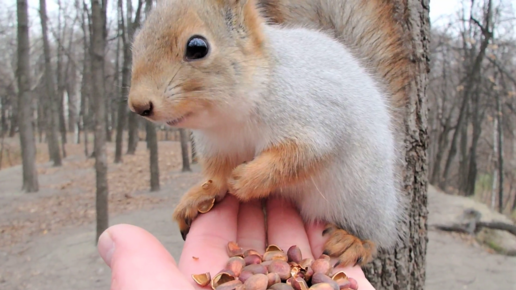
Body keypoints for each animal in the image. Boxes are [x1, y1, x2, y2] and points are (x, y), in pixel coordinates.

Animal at [130, 0, 412, 268]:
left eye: (197, 47)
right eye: (136, 42)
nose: (138, 106)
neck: (231, 116)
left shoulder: (313, 120)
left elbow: (298, 157)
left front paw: (247, 179)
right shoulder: (217, 145)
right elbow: (218, 174)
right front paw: (200, 194)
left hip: (362, 194)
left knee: (376, 232)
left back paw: (353, 240)